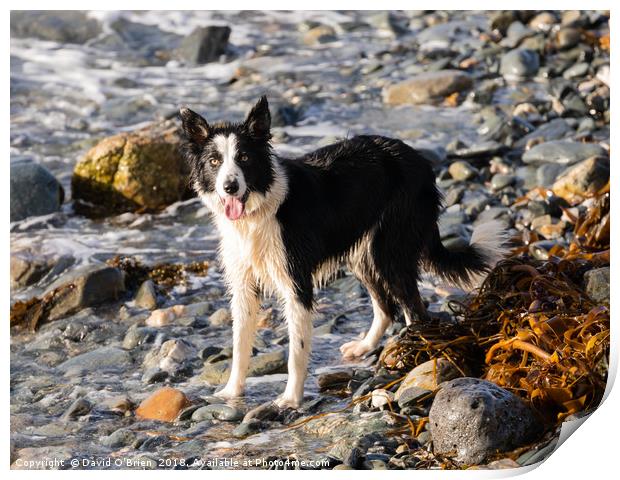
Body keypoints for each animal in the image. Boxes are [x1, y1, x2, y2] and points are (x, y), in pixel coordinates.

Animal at [180, 97, 508, 408]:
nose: (230, 187)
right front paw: (231, 393)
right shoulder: (243, 286)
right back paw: (365, 346)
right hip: (364, 255)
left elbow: (296, 352)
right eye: (214, 160)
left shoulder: (296, 283)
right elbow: (239, 346)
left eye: (244, 157)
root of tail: (419, 160)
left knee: (414, 309)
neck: (259, 209)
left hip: (390, 250)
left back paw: (414, 358)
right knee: (386, 307)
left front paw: (291, 400)